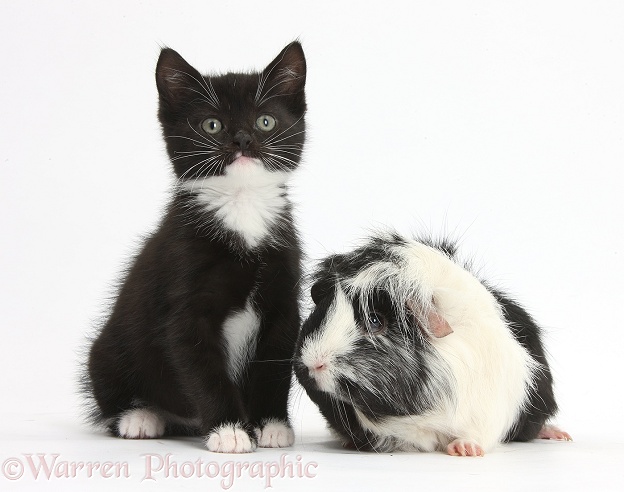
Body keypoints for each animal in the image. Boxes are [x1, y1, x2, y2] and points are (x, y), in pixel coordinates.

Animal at [83, 42, 308, 454]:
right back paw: (140, 417)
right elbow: (203, 369)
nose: (243, 140)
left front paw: (271, 426)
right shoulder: (183, 297)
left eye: (265, 121)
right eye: (212, 125)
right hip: (106, 349)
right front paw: (230, 431)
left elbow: (274, 365)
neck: (241, 206)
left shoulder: (284, 300)